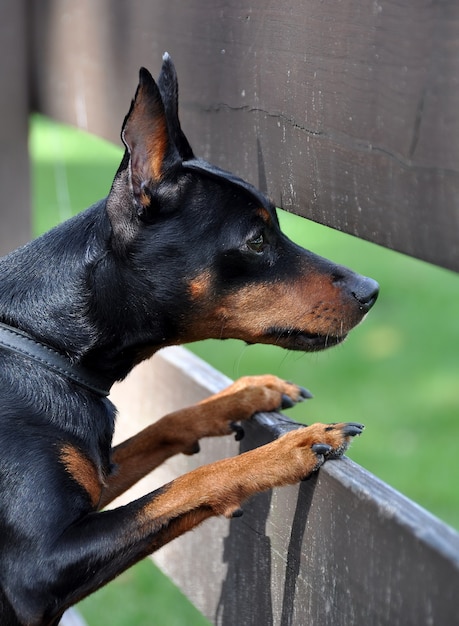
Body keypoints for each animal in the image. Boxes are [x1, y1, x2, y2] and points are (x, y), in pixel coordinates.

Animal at [0, 54, 380, 624]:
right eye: (257, 239)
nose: (371, 291)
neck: (42, 342)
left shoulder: (96, 479)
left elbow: (166, 424)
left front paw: (249, 392)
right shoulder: (40, 567)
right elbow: (188, 483)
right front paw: (290, 449)